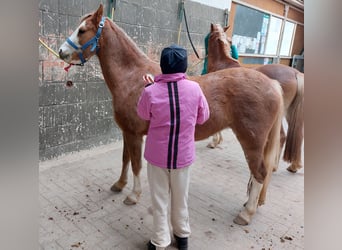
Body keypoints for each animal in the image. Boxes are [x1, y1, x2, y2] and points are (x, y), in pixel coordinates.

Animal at [58, 4, 284, 226]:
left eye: (82, 30)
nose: (61, 52)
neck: (134, 77)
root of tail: (272, 84)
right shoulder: (126, 131)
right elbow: (125, 159)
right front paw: (119, 184)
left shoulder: (134, 134)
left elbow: (136, 164)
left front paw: (133, 195)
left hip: (251, 141)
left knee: (260, 173)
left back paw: (246, 213)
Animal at [207, 23, 304, 174]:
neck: (222, 64)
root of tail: (295, 73)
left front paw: (214, 142)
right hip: (290, 113)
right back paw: (294, 166)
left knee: (281, 136)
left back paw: (273, 166)